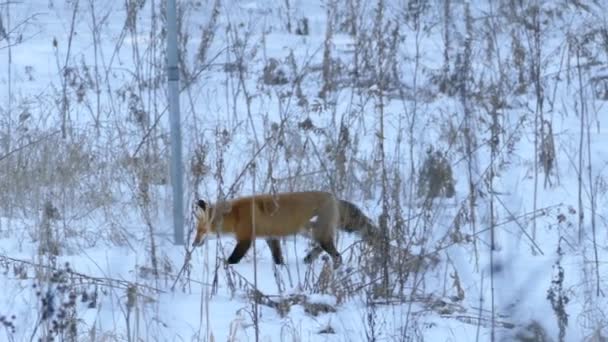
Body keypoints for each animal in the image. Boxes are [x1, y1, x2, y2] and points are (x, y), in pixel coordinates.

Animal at [192, 190, 378, 268]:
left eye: (200, 231)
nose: (193, 244)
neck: (235, 216)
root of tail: (334, 196)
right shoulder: (271, 237)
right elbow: (277, 257)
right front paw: (281, 268)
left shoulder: (245, 239)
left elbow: (233, 259)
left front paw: (225, 268)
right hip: (312, 233)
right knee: (323, 247)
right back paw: (309, 259)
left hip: (318, 234)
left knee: (337, 255)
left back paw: (335, 268)